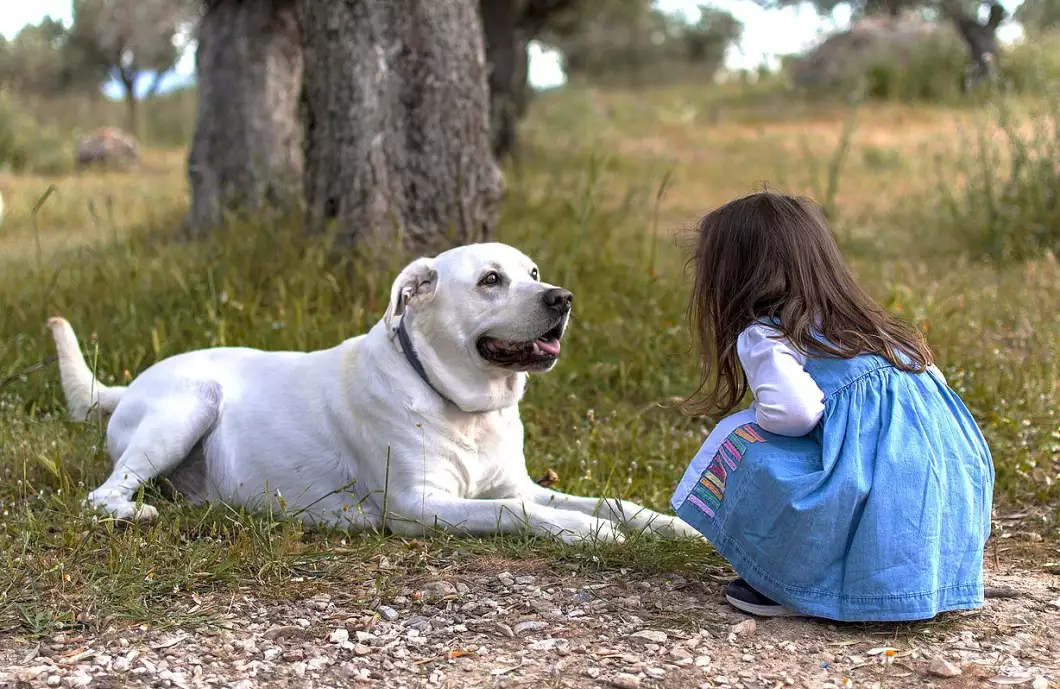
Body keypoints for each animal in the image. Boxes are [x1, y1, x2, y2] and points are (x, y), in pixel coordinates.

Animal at [49, 241, 699, 542]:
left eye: (533, 274)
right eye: (491, 280)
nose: (562, 298)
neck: (464, 408)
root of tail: (127, 385)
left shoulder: (520, 484)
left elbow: (609, 500)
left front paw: (669, 526)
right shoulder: (419, 505)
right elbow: (514, 513)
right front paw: (585, 532)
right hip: (189, 404)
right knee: (101, 495)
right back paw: (133, 511)